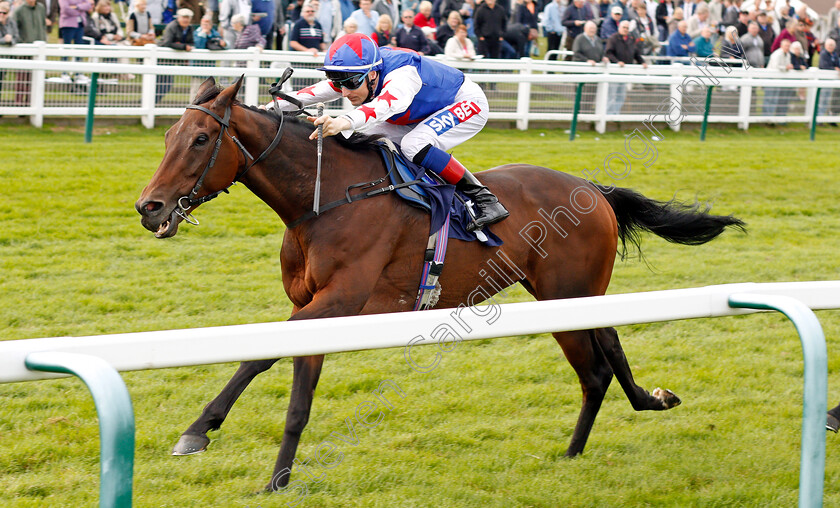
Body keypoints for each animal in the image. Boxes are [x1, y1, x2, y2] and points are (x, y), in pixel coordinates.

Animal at [135, 76, 744, 492]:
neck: (325, 198)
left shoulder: (341, 300)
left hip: (572, 291)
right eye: (168, 135)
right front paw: (279, 479)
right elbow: (298, 399)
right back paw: (575, 453)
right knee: (595, 370)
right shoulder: (318, 306)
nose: (149, 207)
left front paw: (199, 430)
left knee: (608, 348)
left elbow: (257, 355)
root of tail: (593, 189)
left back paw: (643, 405)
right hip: (555, 298)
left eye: (201, 139)